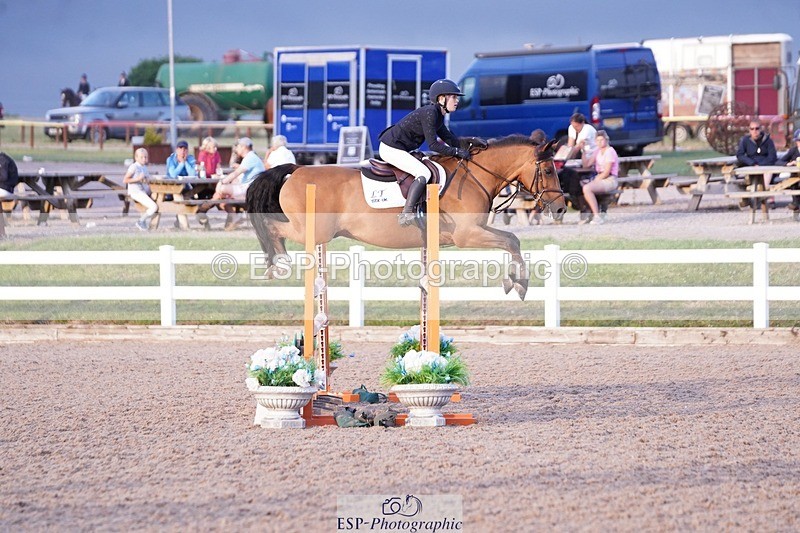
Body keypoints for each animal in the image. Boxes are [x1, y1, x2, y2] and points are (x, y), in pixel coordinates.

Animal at [245, 135, 566, 300]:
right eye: (549, 170)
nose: (561, 208)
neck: (475, 174)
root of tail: (296, 169)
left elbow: (512, 241)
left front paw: (515, 281)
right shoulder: (466, 234)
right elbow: (511, 241)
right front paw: (518, 283)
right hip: (313, 231)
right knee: (272, 228)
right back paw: (277, 264)